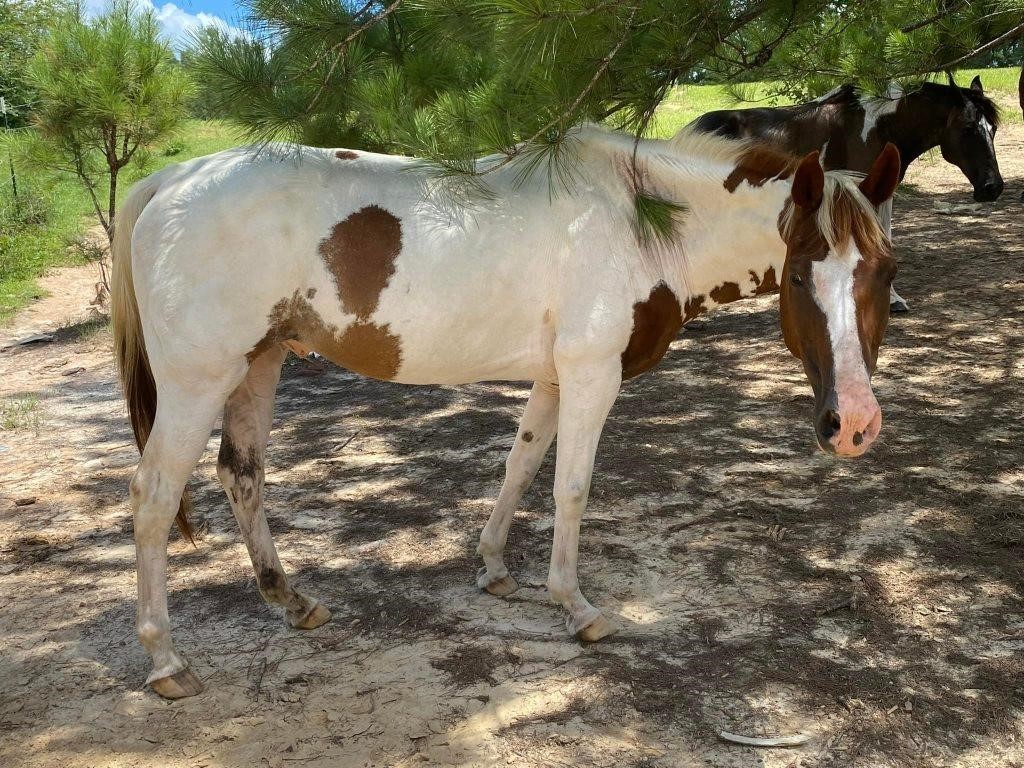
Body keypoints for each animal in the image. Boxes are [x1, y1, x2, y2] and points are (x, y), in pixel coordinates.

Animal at [110, 126, 897, 696]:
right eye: (801, 276)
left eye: (885, 272)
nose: (853, 426)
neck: (639, 220)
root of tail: (170, 181)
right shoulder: (590, 374)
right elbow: (570, 488)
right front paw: (575, 607)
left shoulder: (553, 379)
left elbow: (521, 467)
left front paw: (493, 567)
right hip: (200, 380)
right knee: (154, 497)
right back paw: (166, 661)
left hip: (259, 363)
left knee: (241, 475)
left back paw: (291, 602)